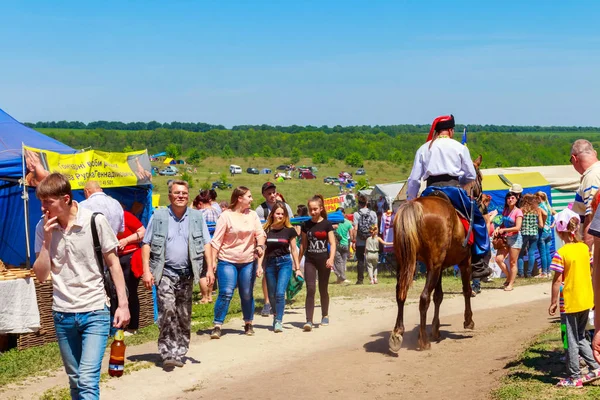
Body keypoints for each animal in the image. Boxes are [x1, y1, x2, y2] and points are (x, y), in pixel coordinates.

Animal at [390, 155, 482, 352]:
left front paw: (436, 329)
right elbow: (466, 290)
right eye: (480, 177)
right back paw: (423, 341)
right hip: (433, 266)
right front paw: (468, 321)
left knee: (401, 293)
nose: (483, 198)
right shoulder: (464, 261)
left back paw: (398, 333)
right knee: (424, 297)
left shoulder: (439, 265)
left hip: (406, 262)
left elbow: (438, 296)